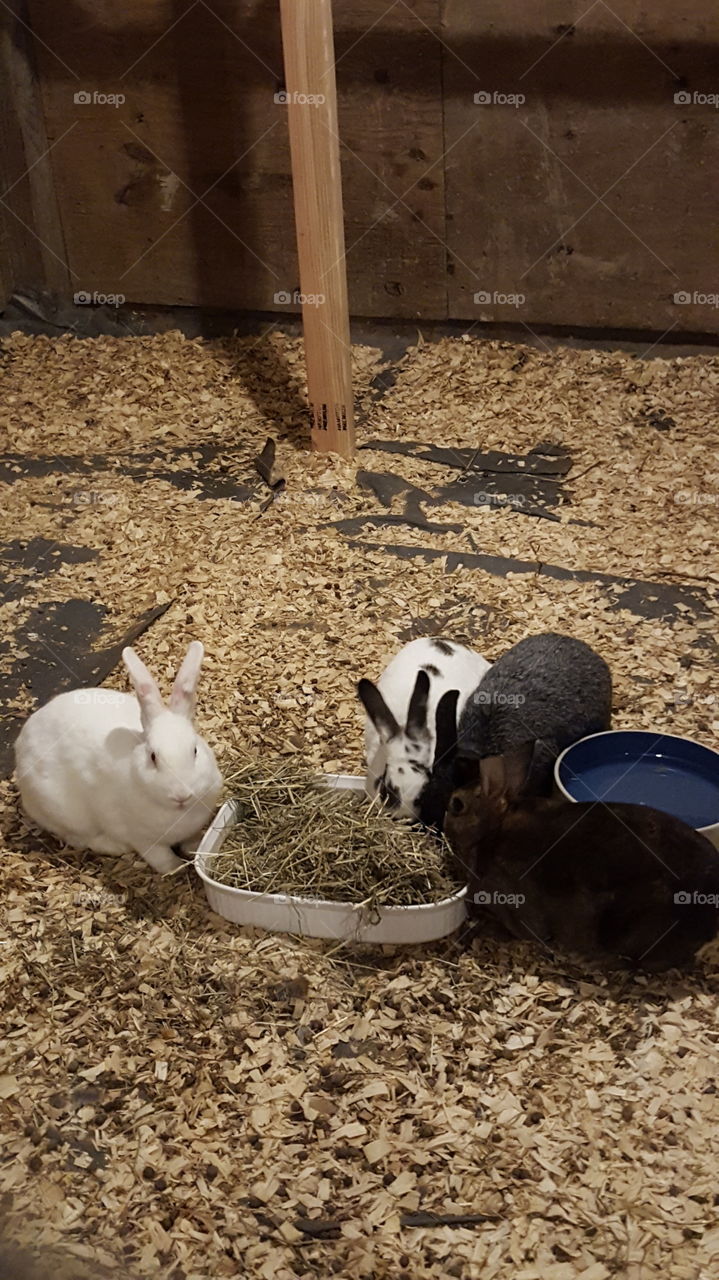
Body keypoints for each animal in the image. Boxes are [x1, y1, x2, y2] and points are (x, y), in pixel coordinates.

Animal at [14, 641, 223, 876]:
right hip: (63, 811)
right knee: (79, 838)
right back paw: (114, 847)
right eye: (153, 757)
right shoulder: (143, 840)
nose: (181, 795)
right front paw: (175, 868)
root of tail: (21, 741)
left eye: (195, 750)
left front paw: (194, 849)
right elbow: (161, 858)